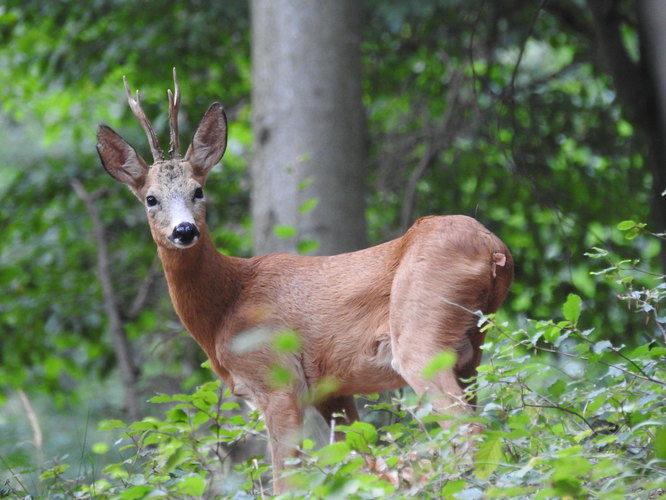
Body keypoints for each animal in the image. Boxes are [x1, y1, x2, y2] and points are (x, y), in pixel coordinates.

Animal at [94, 71, 508, 492]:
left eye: (199, 190)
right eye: (150, 199)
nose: (183, 230)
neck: (226, 305)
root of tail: (493, 247)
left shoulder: (276, 380)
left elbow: (286, 481)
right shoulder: (332, 391)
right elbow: (360, 464)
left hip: (420, 334)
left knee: (471, 431)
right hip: (471, 352)